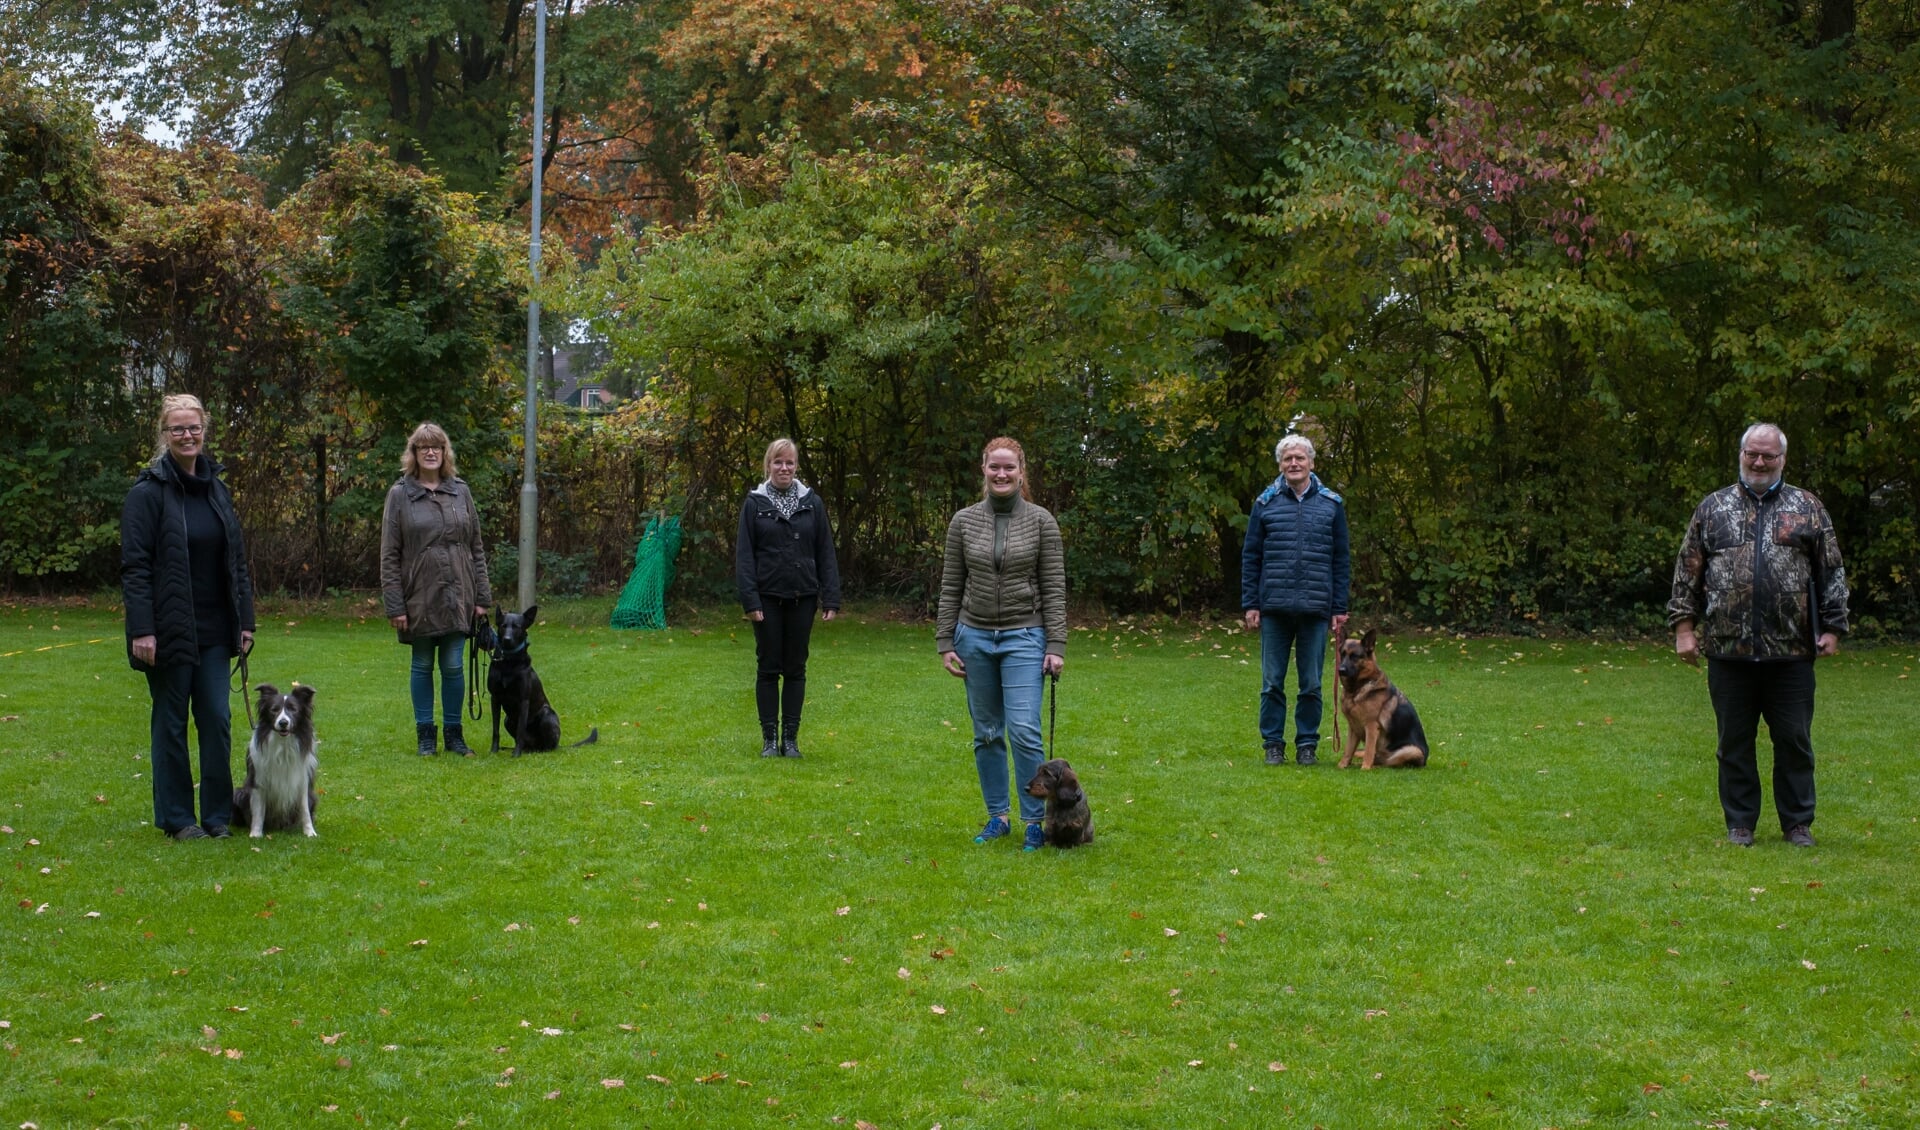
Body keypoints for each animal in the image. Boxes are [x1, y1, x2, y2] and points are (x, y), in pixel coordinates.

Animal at [234, 679, 320, 836]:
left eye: (293, 709)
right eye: (274, 710)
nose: (283, 723)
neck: (283, 744)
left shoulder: (302, 780)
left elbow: (304, 810)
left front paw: (309, 832)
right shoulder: (258, 780)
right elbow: (258, 811)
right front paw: (255, 834)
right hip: (239, 793)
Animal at [483, 602, 595, 752]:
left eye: (517, 627)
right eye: (503, 626)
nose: (507, 640)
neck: (509, 662)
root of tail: (536, 747)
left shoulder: (523, 700)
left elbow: (520, 731)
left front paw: (516, 754)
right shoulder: (495, 698)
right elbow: (495, 730)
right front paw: (494, 751)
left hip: (547, 714)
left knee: (548, 746)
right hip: (507, 720)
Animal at [1336, 629, 1428, 771]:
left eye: (1354, 656)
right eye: (1342, 654)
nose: (1340, 670)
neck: (1356, 689)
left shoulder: (1371, 727)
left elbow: (1368, 750)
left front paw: (1365, 768)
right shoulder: (1353, 728)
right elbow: (1348, 750)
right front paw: (1342, 765)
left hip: (1410, 751)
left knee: (1388, 763)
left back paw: (1372, 767)